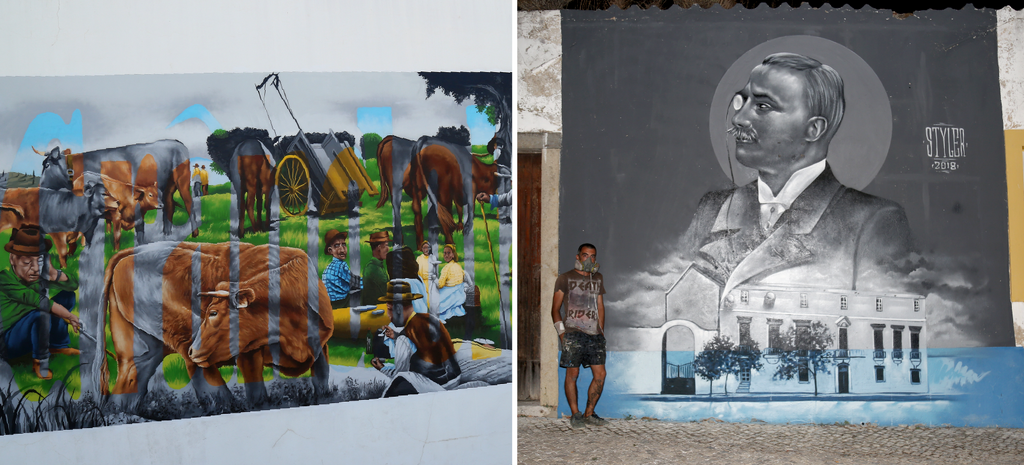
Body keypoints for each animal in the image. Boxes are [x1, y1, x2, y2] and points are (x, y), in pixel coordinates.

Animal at [188, 244, 335, 401]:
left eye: (213, 313)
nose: (191, 350)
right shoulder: (248, 353)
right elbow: (256, 390)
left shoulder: (321, 344)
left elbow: (321, 379)